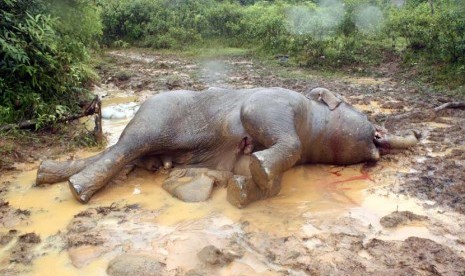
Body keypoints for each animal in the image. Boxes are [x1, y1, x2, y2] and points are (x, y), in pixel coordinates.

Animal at [36, 87, 418, 207]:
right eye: (365, 116)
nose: (380, 136)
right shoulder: (275, 103)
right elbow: (265, 123)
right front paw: (259, 168)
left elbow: (250, 171)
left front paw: (242, 190)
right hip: (156, 116)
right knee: (126, 147)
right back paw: (76, 190)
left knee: (129, 157)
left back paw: (45, 174)